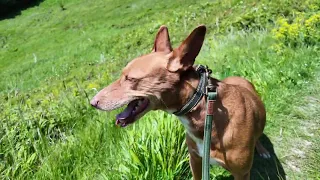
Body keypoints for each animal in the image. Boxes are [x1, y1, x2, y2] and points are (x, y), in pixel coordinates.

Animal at [90, 25, 270, 179]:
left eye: (130, 79)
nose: (93, 102)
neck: (205, 111)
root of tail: (238, 78)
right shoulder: (195, 161)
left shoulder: (241, 173)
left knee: (258, 135)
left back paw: (263, 150)